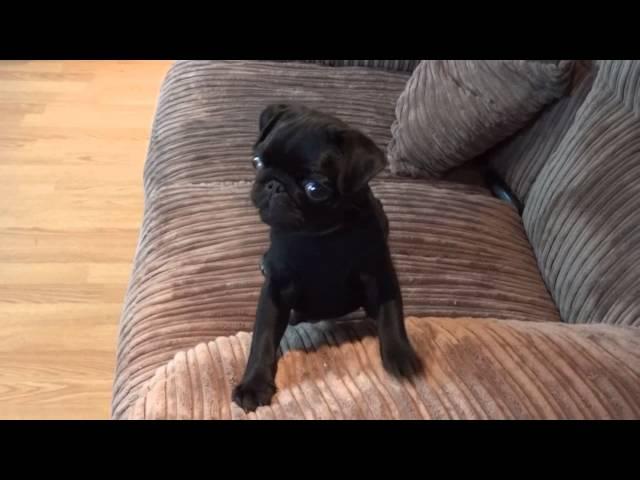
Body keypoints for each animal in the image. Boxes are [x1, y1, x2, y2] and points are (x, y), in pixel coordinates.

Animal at [232, 103, 422, 410]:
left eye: (315, 189)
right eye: (257, 161)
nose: (273, 185)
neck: (320, 236)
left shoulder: (379, 274)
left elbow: (391, 313)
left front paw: (400, 353)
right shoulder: (276, 288)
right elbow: (263, 336)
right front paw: (253, 384)